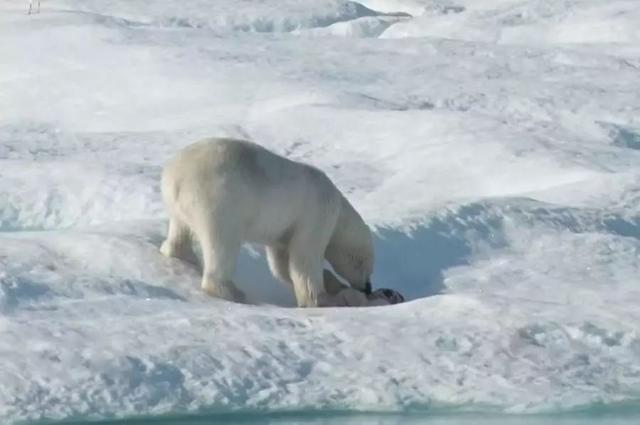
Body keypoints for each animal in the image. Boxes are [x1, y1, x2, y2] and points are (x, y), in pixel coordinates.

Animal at [158, 137, 376, 306]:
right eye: (365, 265)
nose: (367, 287)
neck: (339, 210)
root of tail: (174, 177)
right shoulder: (317, 215)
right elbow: (304, 259)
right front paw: (322, 299)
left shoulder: (284, 232)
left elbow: (282, 265)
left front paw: (334, 285)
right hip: (217, 201)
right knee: (222, 243)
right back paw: (232, 291)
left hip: (180, 206)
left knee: (180, 229)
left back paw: (183, 254)